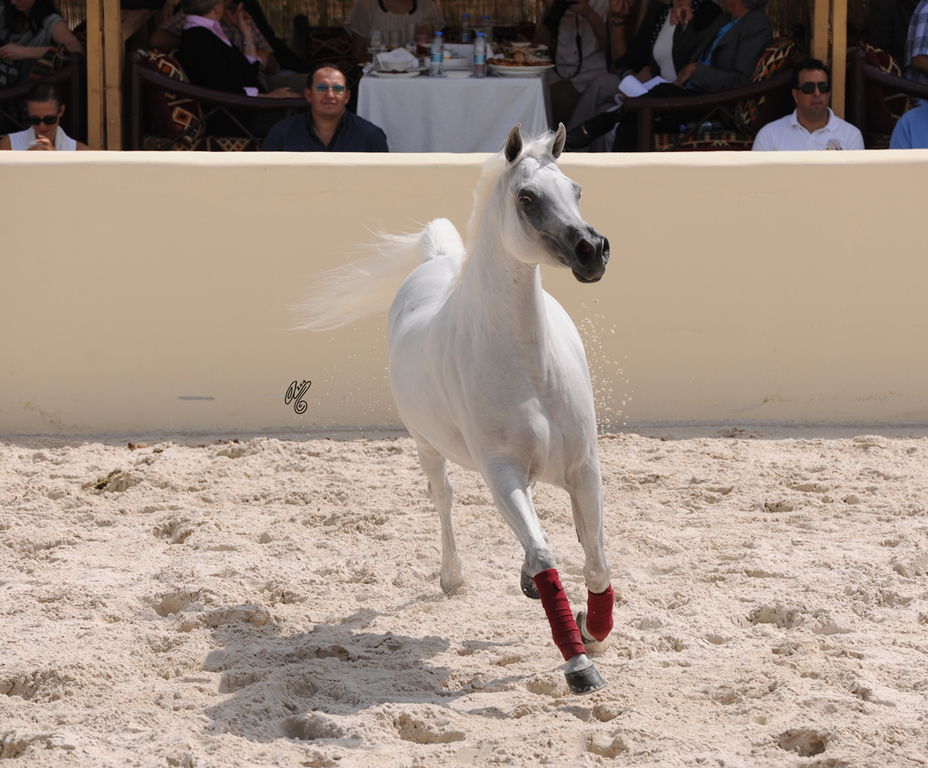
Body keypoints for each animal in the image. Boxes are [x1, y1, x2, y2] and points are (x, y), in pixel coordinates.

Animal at [293, 124, 613, 694]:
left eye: (576, 189)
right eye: (526, 197)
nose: (592, 251)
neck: (529, 366)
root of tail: (434, 260)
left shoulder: (583, 468)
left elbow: (594, 562)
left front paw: (591, 632)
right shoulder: (499, 472)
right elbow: (547, 555)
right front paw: (579, 664)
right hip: (428, 447)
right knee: (444, 500)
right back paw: (453, 578)